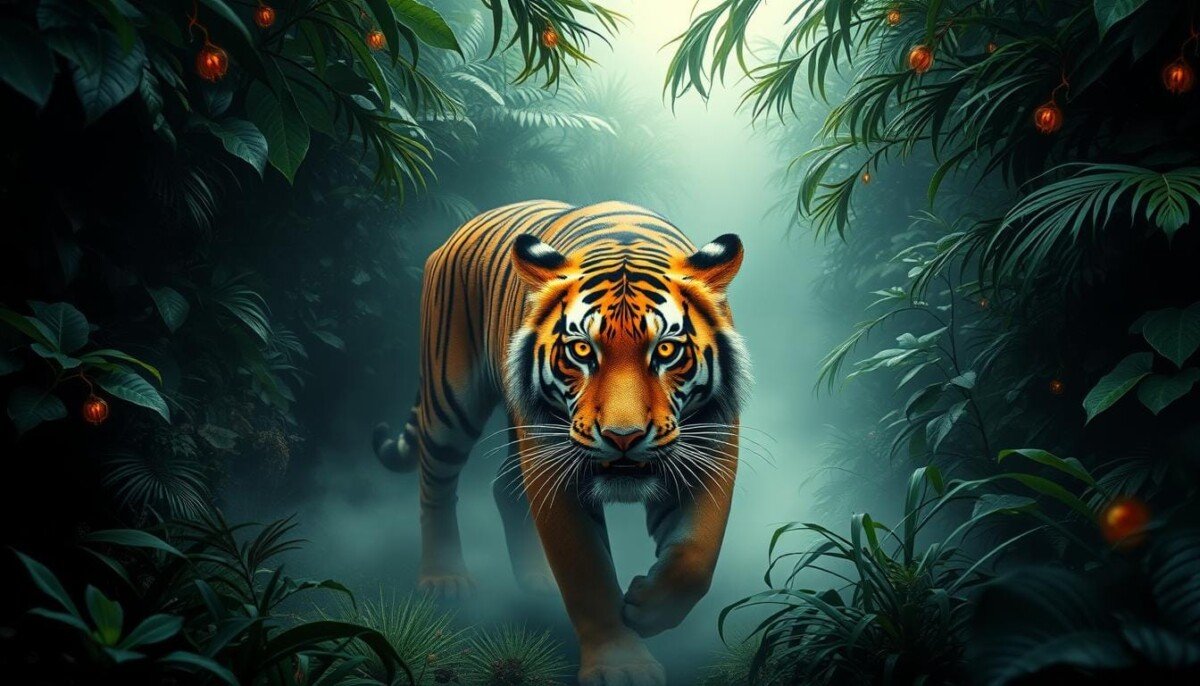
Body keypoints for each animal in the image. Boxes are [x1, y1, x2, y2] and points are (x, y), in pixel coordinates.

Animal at [372, 200, 749, 686]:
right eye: (582, 350)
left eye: (666, 351)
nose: (623, 437)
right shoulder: (554, 467)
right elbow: (586, 568)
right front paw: (621, 665)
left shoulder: (710, 449)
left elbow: (696, 556)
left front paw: (645, 607)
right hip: (451, 399)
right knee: (435, 484)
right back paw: (444, 579)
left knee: (503, 486)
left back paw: (538, 580)